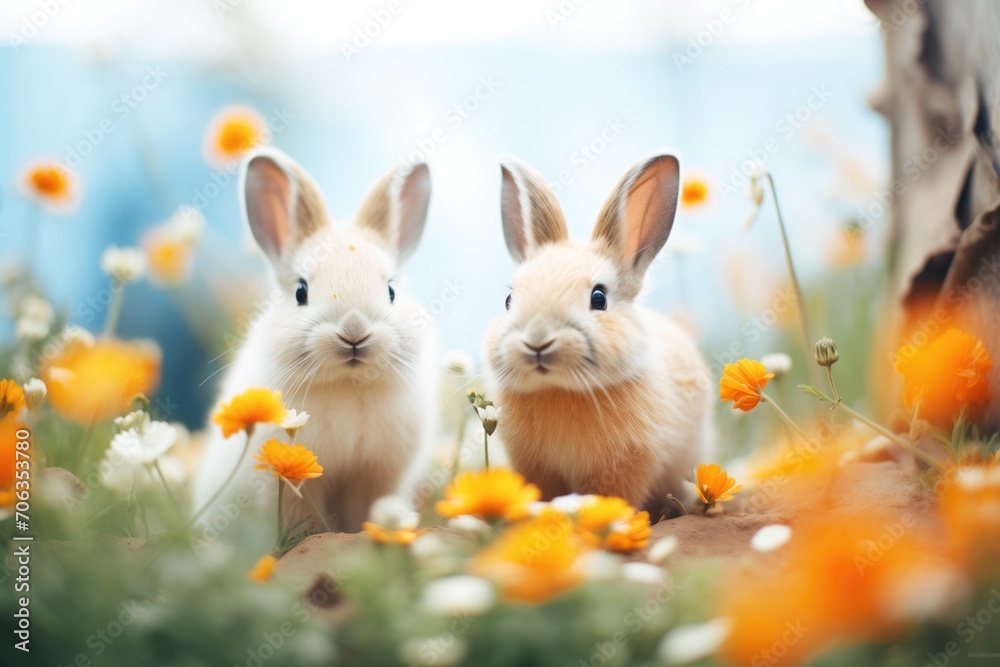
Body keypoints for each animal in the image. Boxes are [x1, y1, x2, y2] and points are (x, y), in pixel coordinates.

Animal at [192, 147, 438, 533]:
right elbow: (302, 519)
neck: (350, 382)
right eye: (300, 292)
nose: (354, 331)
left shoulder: (376, 476)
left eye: (391, 291)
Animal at [484, 152, 713, 518]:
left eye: (599, 298)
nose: (537, 342)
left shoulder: (625, 462)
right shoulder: (537, 468)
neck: (559, 390)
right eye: (508, 300)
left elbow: (609, 496)